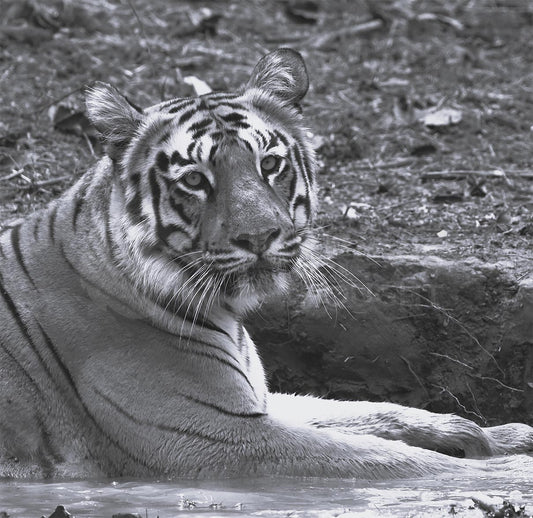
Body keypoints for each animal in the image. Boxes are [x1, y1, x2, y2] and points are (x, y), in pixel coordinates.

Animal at [1, 48, 532, 480]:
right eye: (194, 179)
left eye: (270, 164)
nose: (258, 236)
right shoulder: (217, 436)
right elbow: (395, 460)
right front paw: (506, 473)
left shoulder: (255, 402)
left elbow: (372, 411)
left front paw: (495, 437)